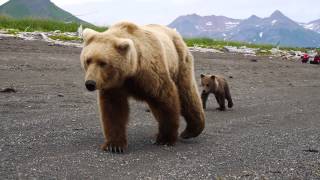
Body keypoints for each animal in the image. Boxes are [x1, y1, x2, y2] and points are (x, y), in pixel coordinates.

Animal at [80, 21, 205, 153]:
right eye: (88, 60)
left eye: (103, 63)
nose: (90, 83)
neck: (131, 70)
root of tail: (175, 33)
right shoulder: (115, 84)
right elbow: (113, 109)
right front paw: (114, 145)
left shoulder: (150, 72)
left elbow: (165, 100)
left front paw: (165, 139)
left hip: (179, 60)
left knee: (187, 93)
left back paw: (190, 131)